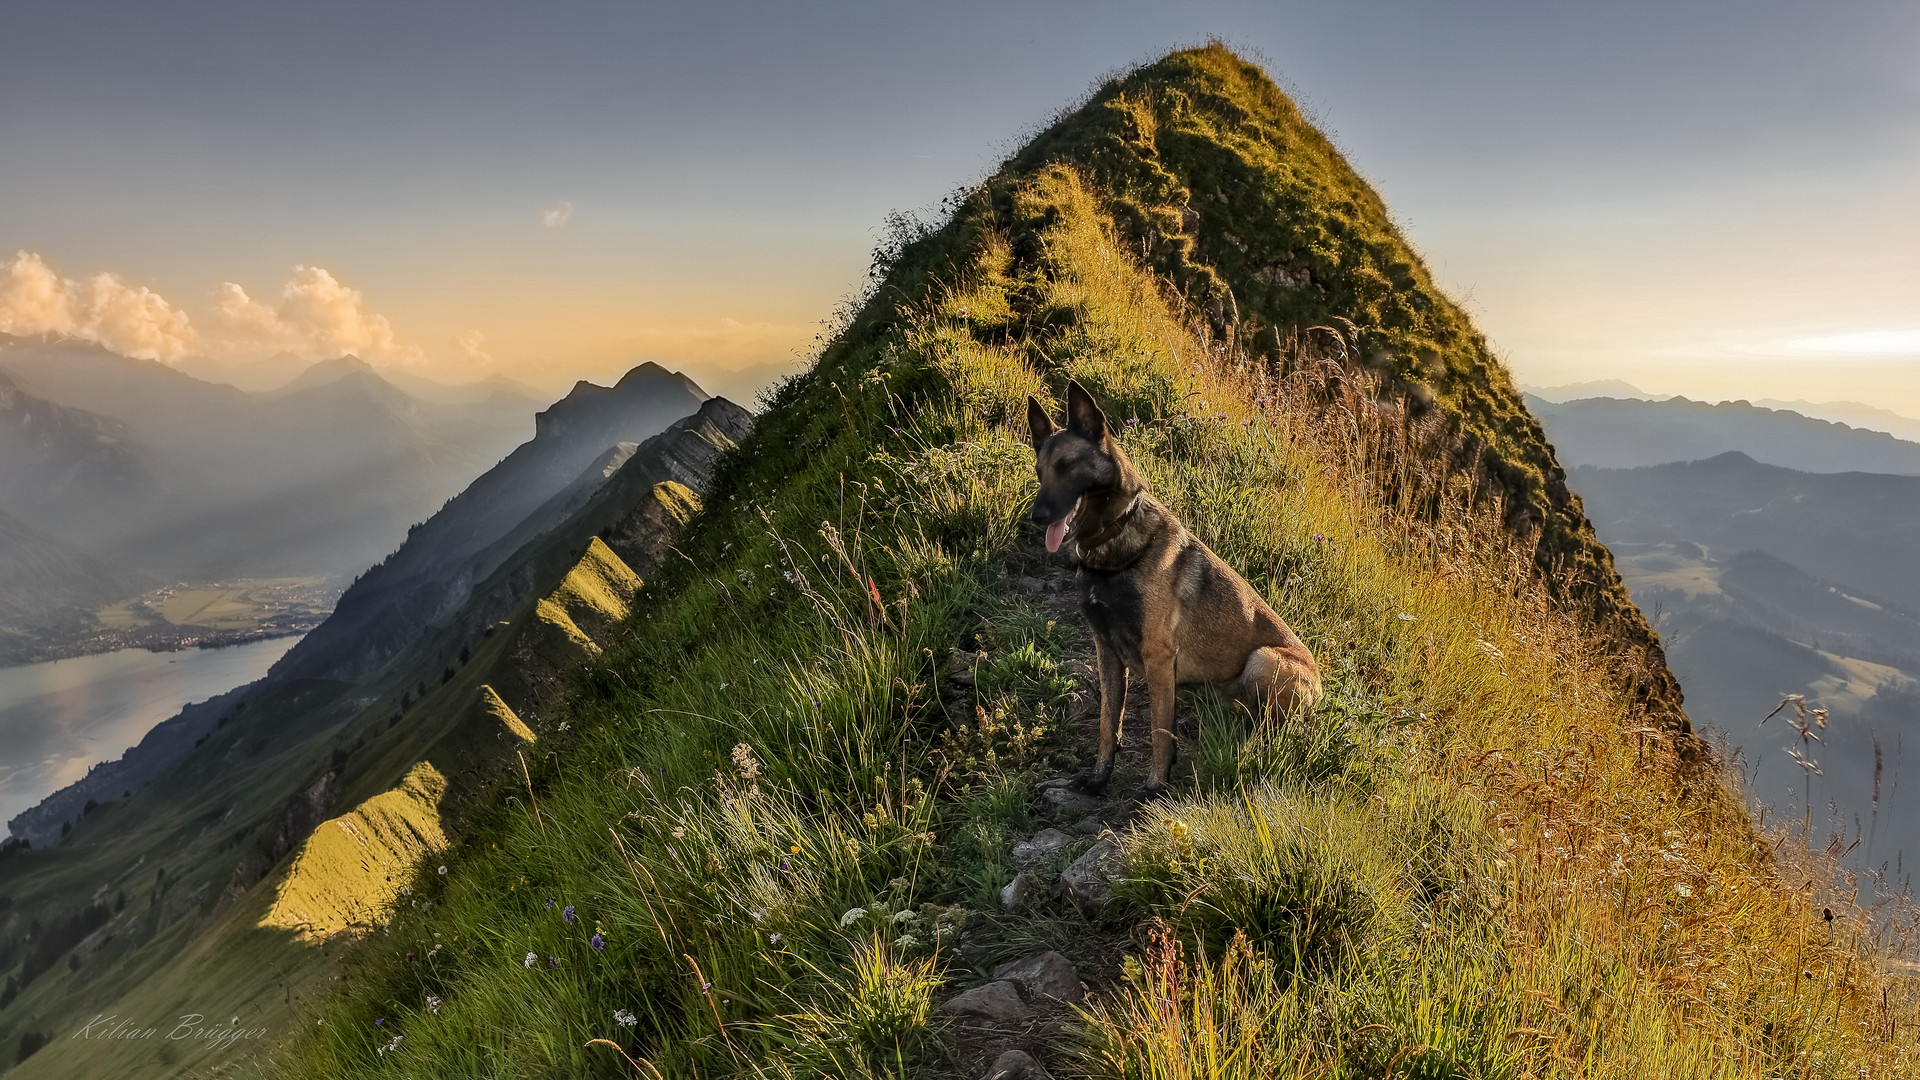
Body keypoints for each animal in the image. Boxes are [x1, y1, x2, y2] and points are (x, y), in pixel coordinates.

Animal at [1029, 374, 1328, 795]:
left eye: (1067, 466)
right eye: (1041, 472)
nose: (1037, 516)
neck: (1112, 554)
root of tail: (1322, 688)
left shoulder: (1158, 656)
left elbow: (1157, 729)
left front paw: (1155, 786)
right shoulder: (1106, 652)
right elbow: (1108, 722)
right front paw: (1099, 776)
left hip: (1264, 658)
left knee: (1274, 728)